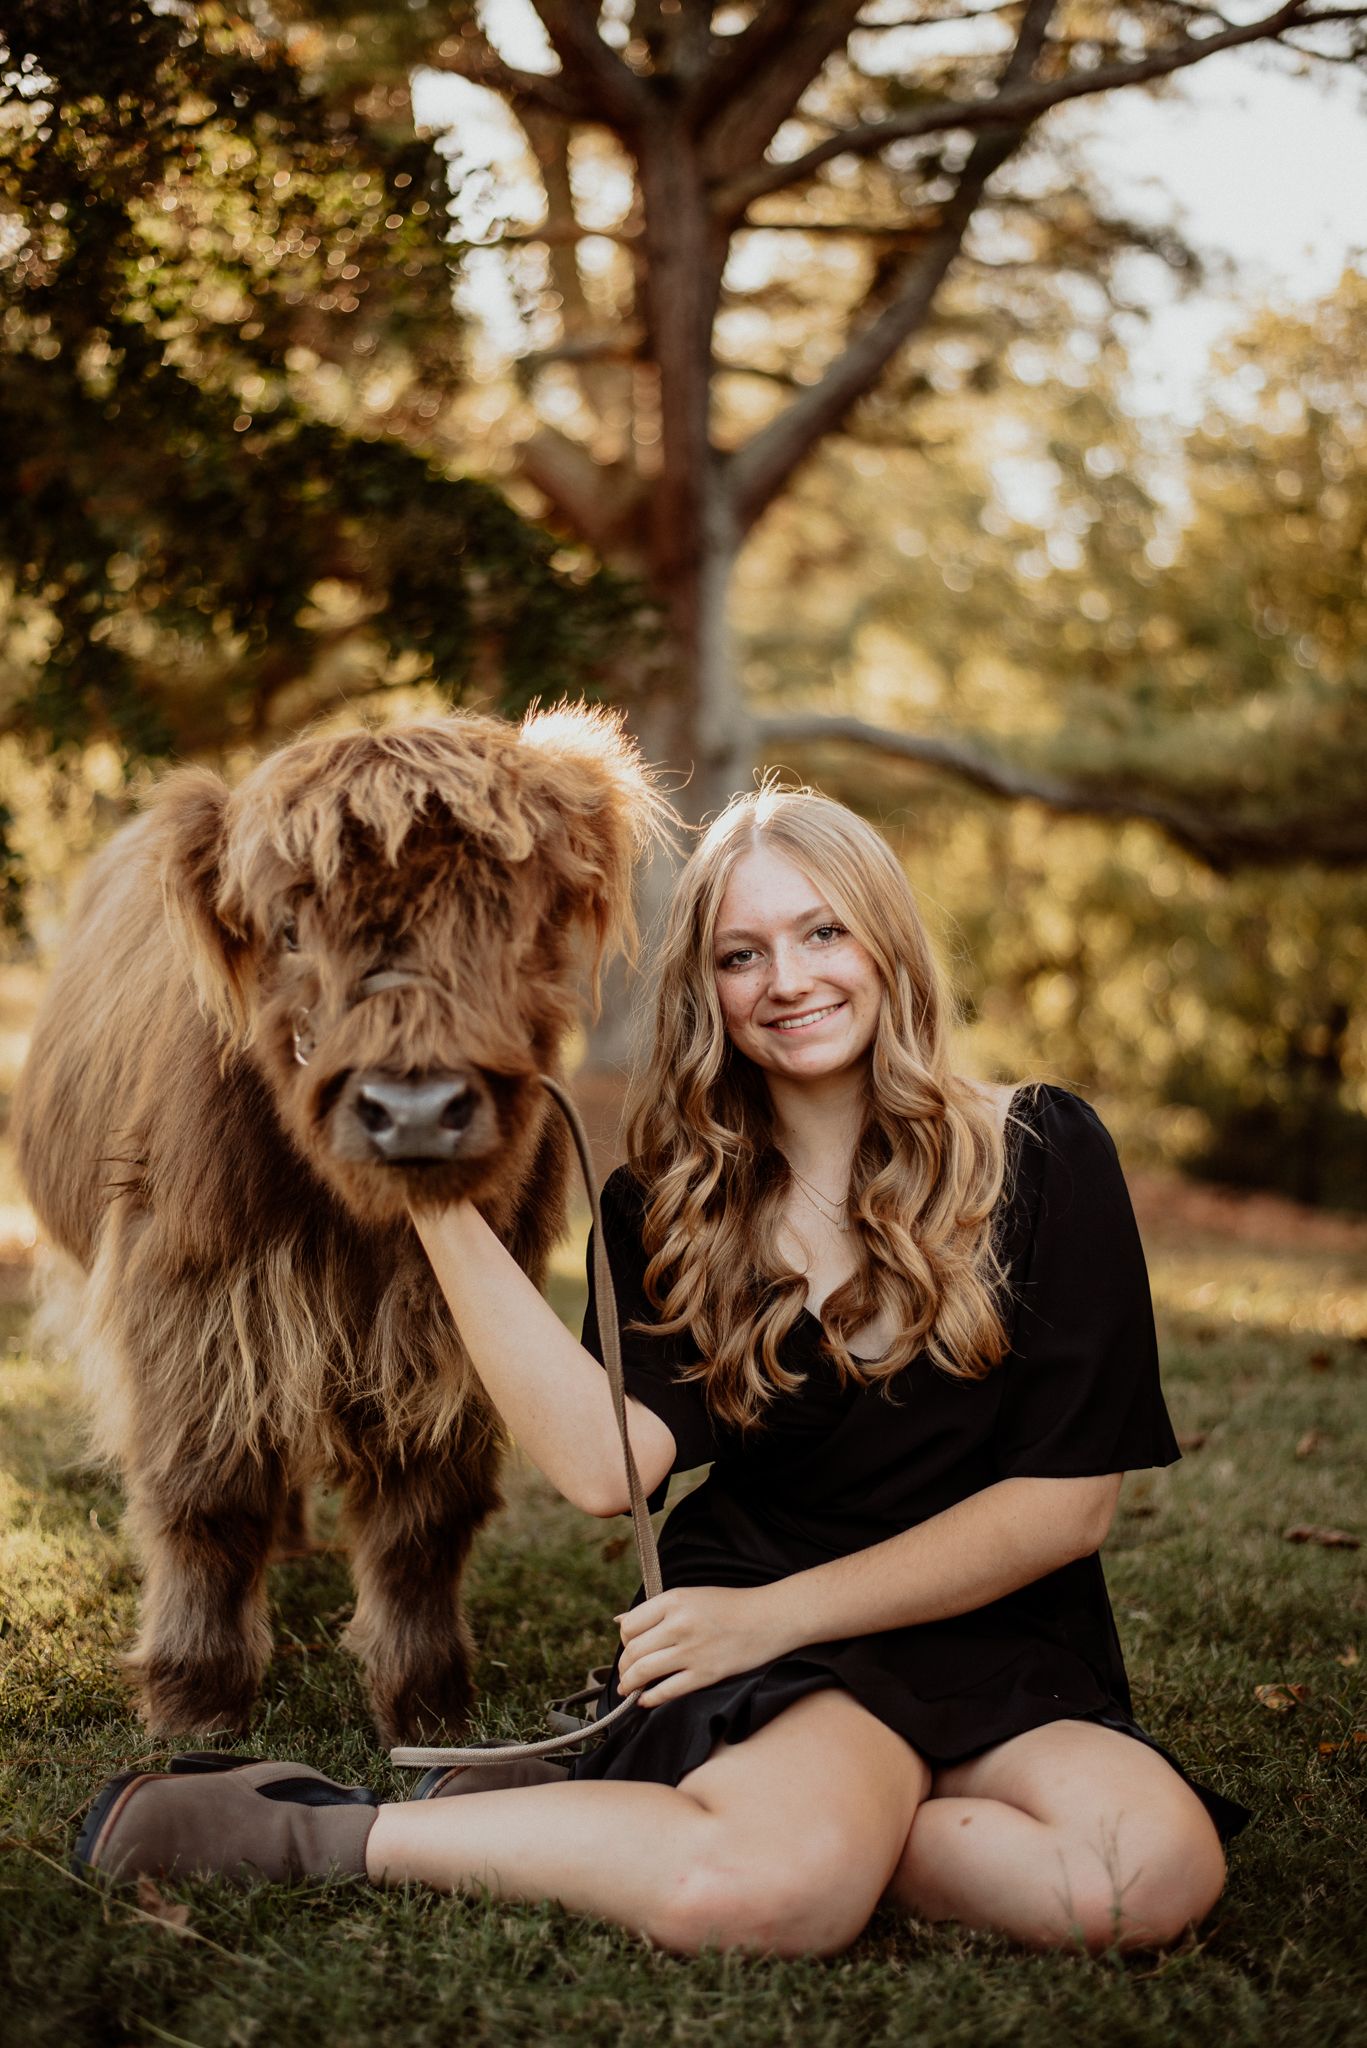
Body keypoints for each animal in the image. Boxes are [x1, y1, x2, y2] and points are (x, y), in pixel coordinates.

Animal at [14, 704, 663, 1743]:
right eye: (287, 929)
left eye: (509, 916)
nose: (415, 1108)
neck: (361, 1234)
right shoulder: (197, 1304)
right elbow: (208, 1495)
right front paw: (195, 1704)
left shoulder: (460, 1335)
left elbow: (424, 1515)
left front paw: (426, 1704)